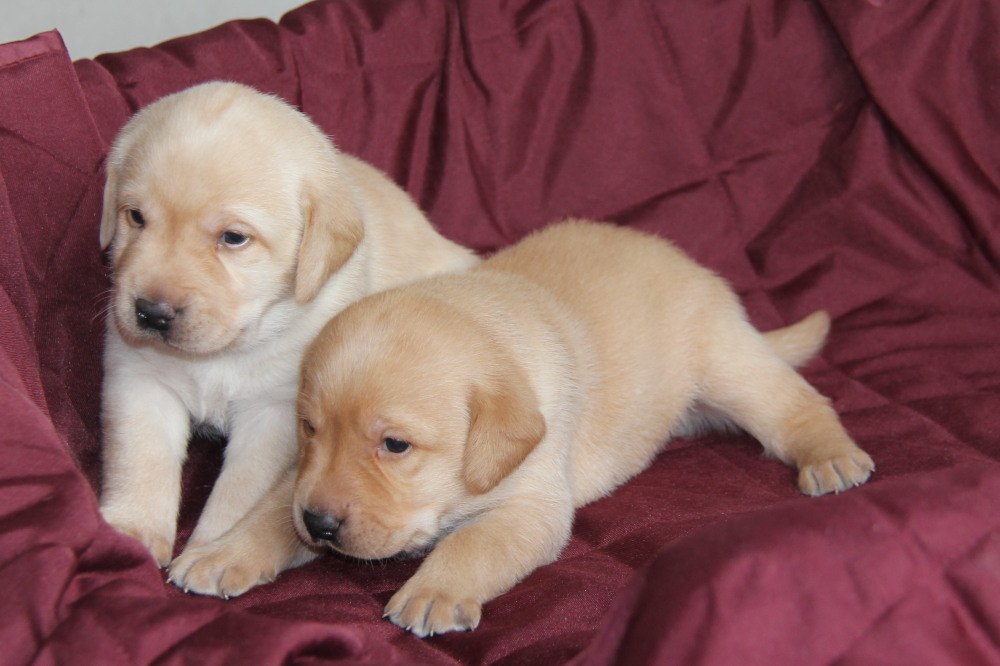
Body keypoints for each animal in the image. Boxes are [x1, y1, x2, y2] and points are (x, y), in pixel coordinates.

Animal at [97, 81, 480, 572]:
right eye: (136, 217)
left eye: (233, 238)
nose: (152, 312)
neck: (228, 349)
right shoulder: (140, 378)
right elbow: (140, 458)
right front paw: (132, 532)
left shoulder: (274, 414)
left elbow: (242, 490)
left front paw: (211, 549)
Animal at [168, 219, 872, 632]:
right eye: (310, 429)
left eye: (395, 445)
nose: (318, 525)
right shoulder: (302, 479)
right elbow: (268, 510)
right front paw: (223, 552)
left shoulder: (531, 505)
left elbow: (472, 544)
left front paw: (434, 591)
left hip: (729, 365)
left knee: (800, 405)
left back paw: (831, 457)